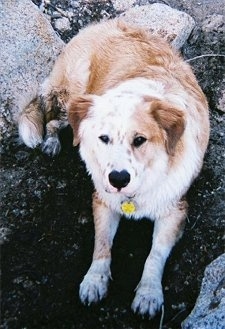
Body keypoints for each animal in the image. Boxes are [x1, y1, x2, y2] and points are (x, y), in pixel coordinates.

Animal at [18, 19, 210, 316]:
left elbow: (154, 255)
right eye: (104, 138)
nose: (118, 179)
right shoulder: (102, 201)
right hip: (75, 94)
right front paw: (94, 281)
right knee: (53, 118)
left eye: (140, 140)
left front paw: (148, 293)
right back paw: (51, 141)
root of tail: (102, 24)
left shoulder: (174, 210)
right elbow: (102, 245)